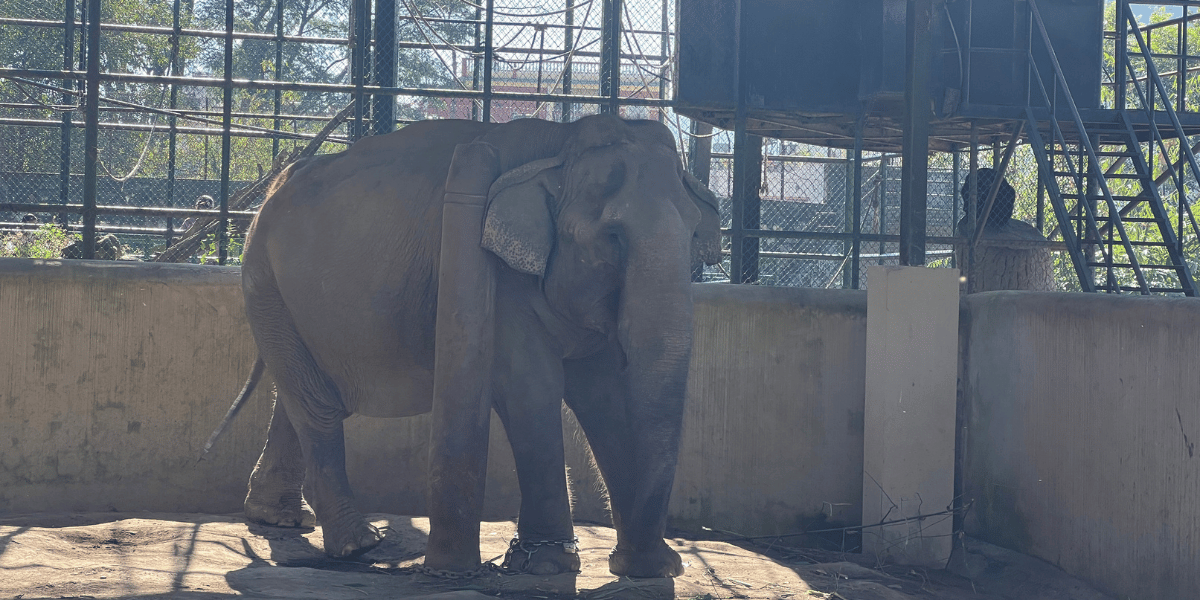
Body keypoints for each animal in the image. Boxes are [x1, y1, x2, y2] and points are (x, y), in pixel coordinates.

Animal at [229, 113, 722, 578]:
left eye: (695, 235)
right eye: (612, 238)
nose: (660, 561)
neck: (562, 147)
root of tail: (274, 186)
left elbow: (604, 397)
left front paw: (651, 568)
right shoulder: (502, 279)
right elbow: (531, 387)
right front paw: (547, 565)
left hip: (280, 293)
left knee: (304, 395)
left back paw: (279, 518)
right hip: (263, 279)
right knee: (317, 406)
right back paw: (358, 544)